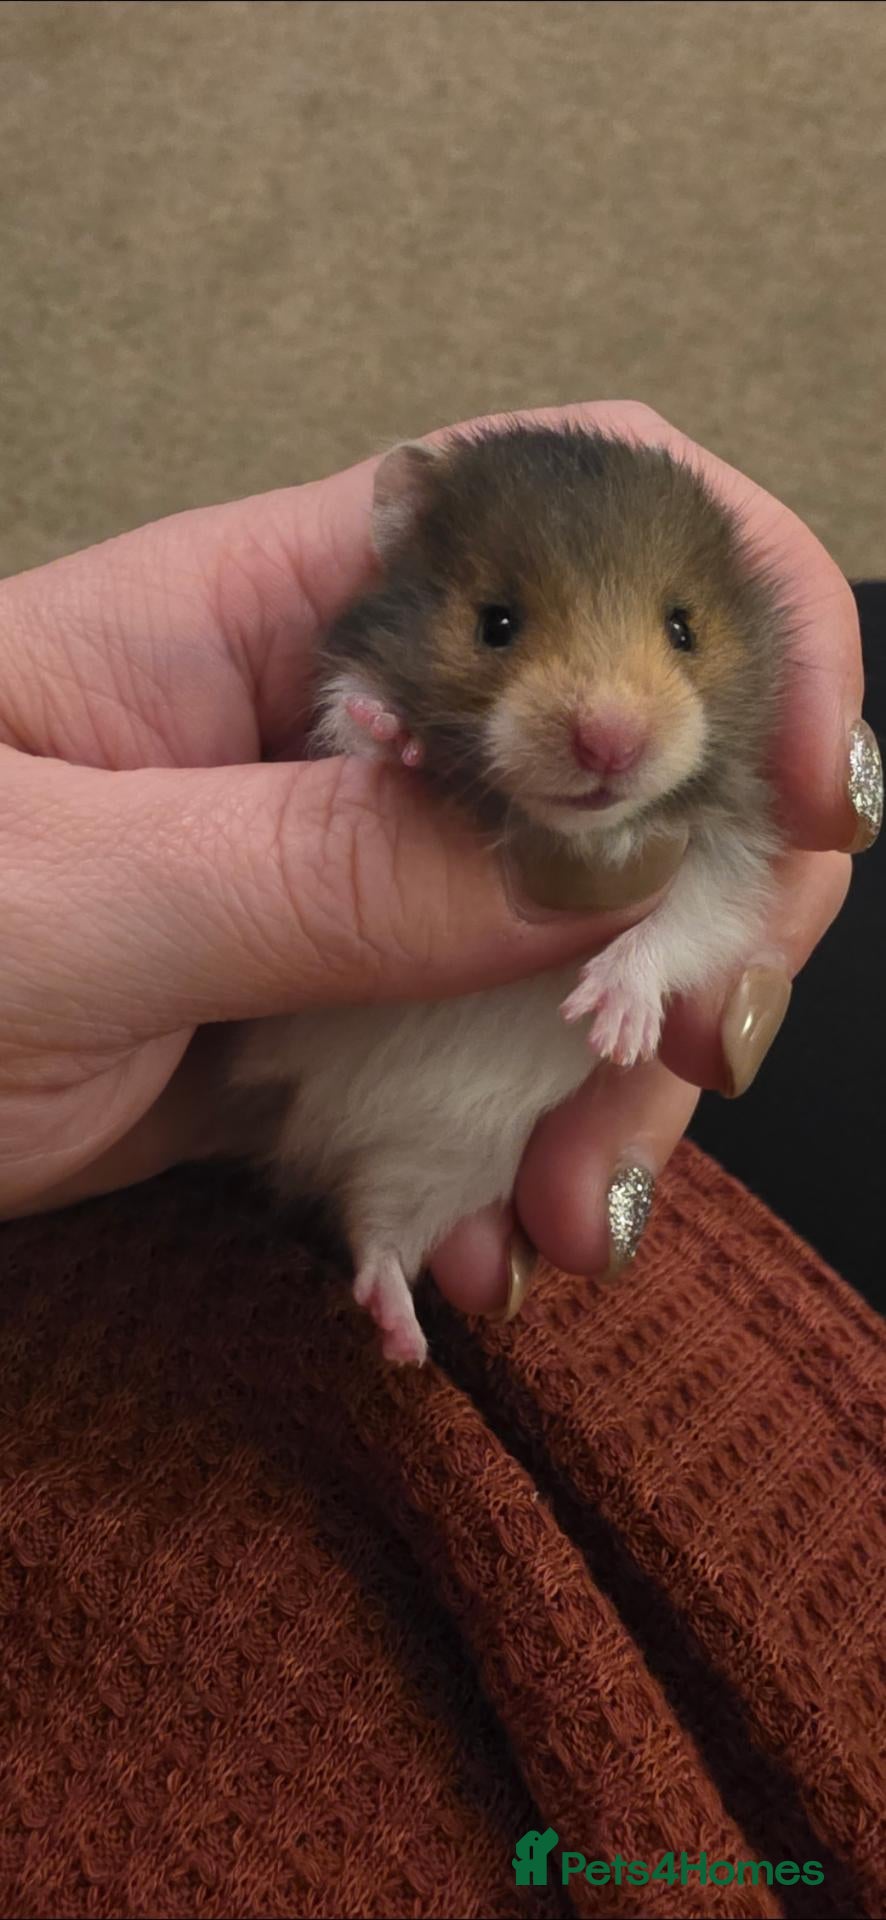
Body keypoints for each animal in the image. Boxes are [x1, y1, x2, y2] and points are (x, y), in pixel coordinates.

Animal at [229, 425, 786, 1364]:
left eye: (683, 627)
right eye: (496, 623)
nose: (611, 744)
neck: (569, 830)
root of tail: (314, 1134)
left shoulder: (727, 866)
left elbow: (677, 929)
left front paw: (611, 1024)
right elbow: (351, 732)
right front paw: (395, 736)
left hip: (438, 1167)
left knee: (380, 1231)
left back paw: (402, 1341)